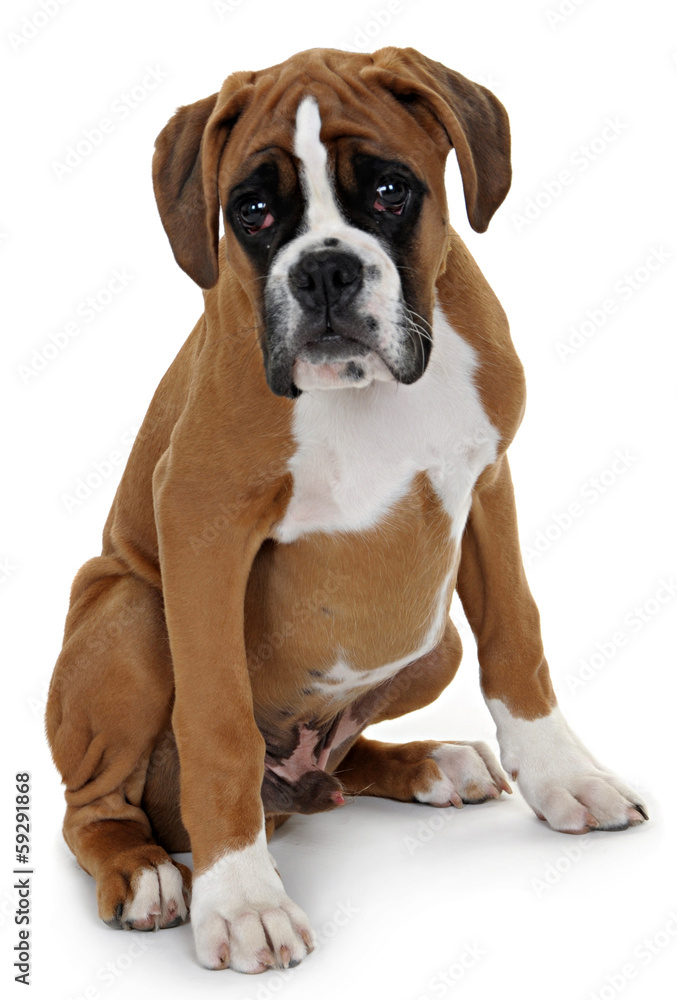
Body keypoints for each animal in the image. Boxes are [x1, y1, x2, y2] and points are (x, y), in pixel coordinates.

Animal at [45, 45, 648, 968]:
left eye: (392, 190)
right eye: (252, 211)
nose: (324, 268)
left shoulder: (488, 483)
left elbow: (517, 639)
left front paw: (564, 778)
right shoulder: (200, 520)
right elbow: (217, 718)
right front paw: (242, 899)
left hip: (430, 642)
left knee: (339, 756)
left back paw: (428, 763)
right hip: (133, 614)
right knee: (93, 809)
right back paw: (143, 870)